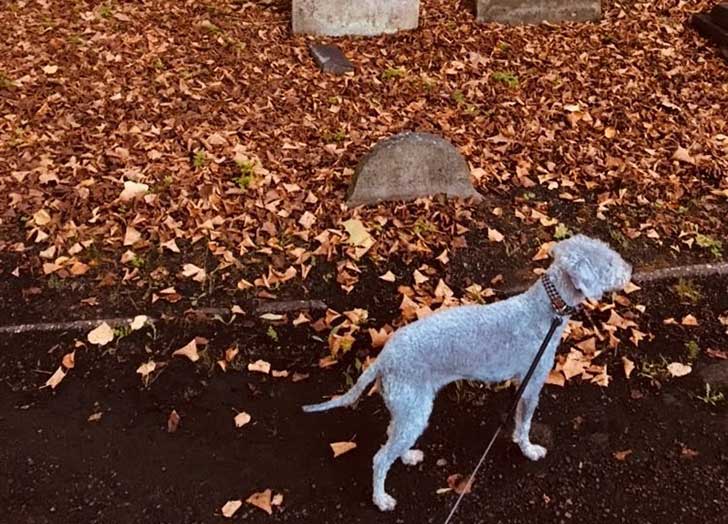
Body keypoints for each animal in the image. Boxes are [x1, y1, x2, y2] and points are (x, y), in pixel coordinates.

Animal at [302, 234, 632, 512]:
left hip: (407, 409)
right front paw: (528, 450)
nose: (629, 269)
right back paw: (381, 499)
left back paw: (408, 456)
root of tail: (384, 357)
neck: (546, 308)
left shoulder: (520, 380)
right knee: (380, 458)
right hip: (413, 407)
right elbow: (525, 423)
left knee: (393, 437)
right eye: (608, 263)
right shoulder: (533, 381)